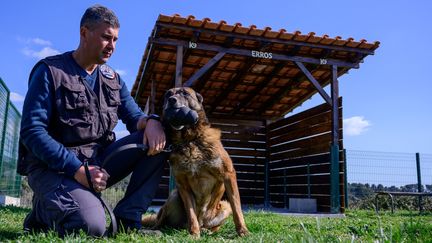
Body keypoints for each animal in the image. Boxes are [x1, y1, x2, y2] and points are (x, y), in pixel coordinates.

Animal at [142, 87, 248, 237]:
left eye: (185, 93)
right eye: (168, 94)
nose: (171, 100)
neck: (189, 140)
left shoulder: (228, 174)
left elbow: (237, 208)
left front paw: (243, 231)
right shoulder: (183, 185)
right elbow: (191, 213)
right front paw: (194, 233)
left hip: (223, 207)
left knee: (214, 225)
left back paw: (206, 230)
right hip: (174, 196)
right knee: (160, 222)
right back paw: (153, 230)